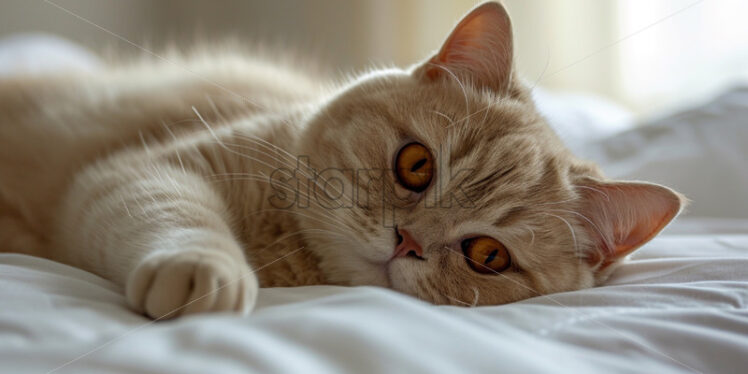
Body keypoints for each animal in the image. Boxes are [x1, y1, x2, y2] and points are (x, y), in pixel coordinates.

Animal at [0, 2, 684, 318]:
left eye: (487, 256)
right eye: (416, 165)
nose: (408, 240)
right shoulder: (151, 168)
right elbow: (176, 214)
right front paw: (207, 271)